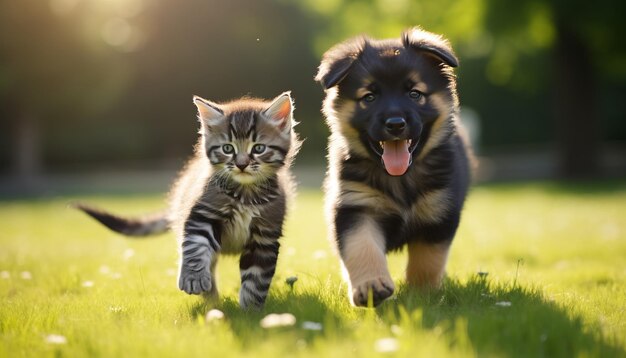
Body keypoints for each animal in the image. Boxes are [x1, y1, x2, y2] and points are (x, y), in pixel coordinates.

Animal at [75, 93, 300, 310]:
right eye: (228, 149)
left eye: (259, 148)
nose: (241, 164)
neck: (245, 193)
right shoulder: (202, 215)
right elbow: (195, 247)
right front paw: (194, 279)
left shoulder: (265, 236)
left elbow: (257, 279)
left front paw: (251, 312)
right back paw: (212, 302)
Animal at [316, 28, 468, 308]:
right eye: (369, 97)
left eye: (414, 94)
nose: (396, 124)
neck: (400, 179)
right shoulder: (356, 207)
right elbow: (362, 247)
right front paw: (371, 287)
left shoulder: (438, 212)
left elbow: (428, 260)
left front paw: (423, 294)